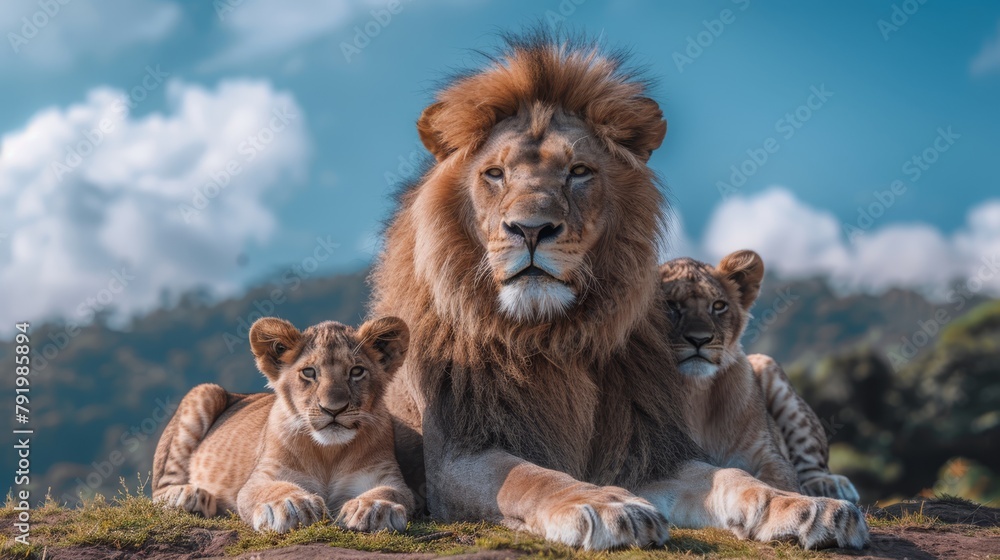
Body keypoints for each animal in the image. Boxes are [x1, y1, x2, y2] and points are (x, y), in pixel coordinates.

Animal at [370, 31, 868, 552]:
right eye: (494, 173)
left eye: (579, 171)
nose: (531, 229)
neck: (547, 334)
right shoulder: (458, 456)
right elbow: (529, 476)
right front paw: (604, 505)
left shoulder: (645, 450)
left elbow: (734, 477)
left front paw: (803, 508)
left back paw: (828, 487)